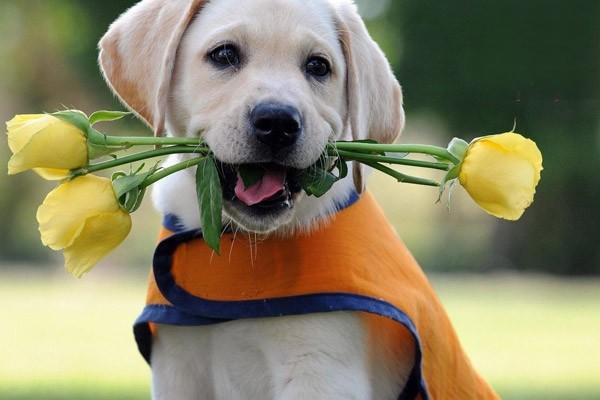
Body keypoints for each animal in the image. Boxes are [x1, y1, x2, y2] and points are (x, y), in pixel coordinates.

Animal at [101, 0, 500, 400]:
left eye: (318, 66)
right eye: (224, 55)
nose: (277, 122)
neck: (245, 244)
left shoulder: (321, 370)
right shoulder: (178, 367)